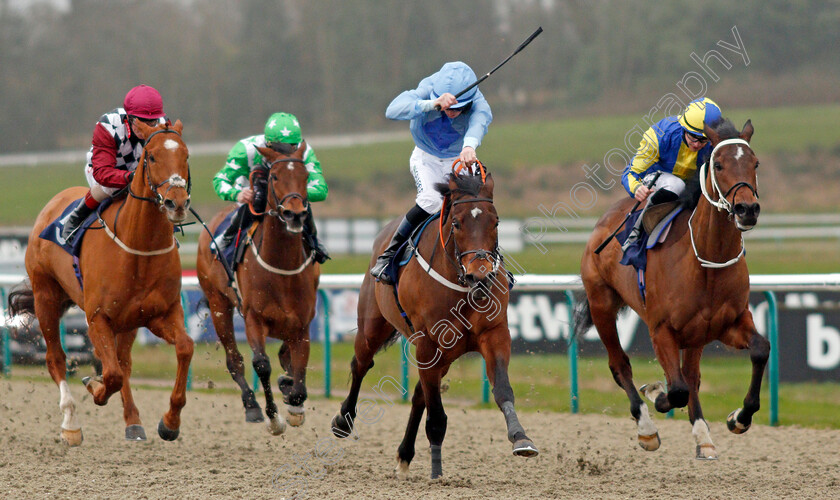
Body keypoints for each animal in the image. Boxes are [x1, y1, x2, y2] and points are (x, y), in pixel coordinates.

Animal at [6, 119, 194, 444]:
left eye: (185, 155)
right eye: (152, 157)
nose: (177, 203)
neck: (139, 247)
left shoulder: (161, 314)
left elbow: (184, 347)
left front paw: (170, 422)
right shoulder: (97, 319)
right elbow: (111, 375)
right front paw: (94, 387)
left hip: (128, 321)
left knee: (124, 362)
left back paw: (133, 423)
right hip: (46, 297)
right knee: (56, 357)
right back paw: (70, 423)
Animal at [195, 141, 320, 434]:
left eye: (306, 176)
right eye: (274, 177)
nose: (295, 214)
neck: (281, 268)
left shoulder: (302, 324)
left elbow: (298, 368)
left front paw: (294, 402)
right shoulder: (253, 317)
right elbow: (261, 364)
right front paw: (275, 418)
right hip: (218, 304)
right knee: (234, 360)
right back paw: (251, 405)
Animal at [330, 165, 540, 480]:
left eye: (496, 222)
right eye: (456, 223)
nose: (481, 276)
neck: (463, 286)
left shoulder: (494, 334)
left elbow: (502, 389)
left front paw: (521, 437)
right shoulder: (428, 342)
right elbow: (437, 415)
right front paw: (436, 471)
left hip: (446, 354)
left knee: (419, 394)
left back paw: (405, 455)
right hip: (373, 328)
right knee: (361, 365)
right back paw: (343, 421)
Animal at [576, 119, 768, 458]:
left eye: (754, 163)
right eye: (718, 164)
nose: (747, 209)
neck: (705, 259)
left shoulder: (729, 322)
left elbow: (760, 349)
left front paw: (739, 418)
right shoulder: (661, 329)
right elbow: (676, 389)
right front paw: (656, 392)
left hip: (696, 334)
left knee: (691, 375)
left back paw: (703, 436)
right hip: (602, 305)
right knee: (620, 365)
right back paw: (647, 428)